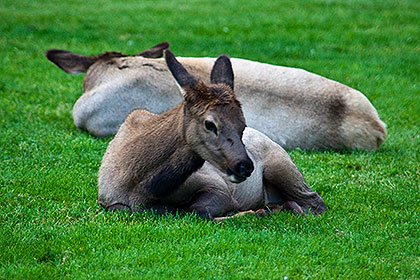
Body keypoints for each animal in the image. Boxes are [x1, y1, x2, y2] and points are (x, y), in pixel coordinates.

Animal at [97, 51, 326, 220]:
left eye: (243, 125)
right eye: (210, 124)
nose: (245, 165)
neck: (138, 184)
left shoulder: (217, 186)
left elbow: (196, 211)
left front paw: (247, 212)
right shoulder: (108, 201)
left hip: (282, 165)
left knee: (315, 202)